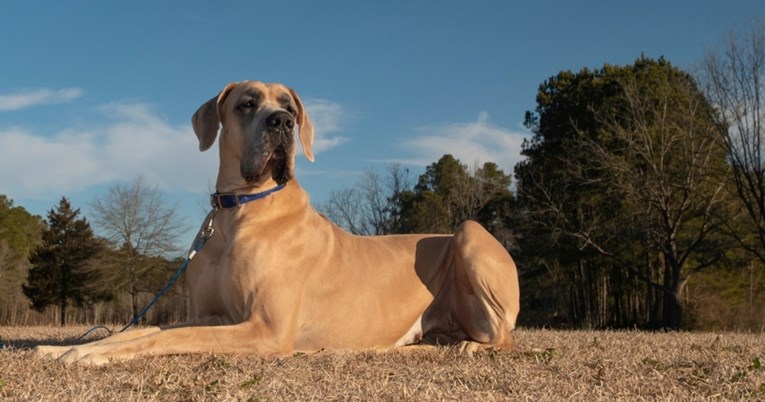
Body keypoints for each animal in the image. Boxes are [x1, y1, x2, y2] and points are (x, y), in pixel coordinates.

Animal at [31, 81, 520, 364]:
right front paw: (68, 347)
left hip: (469, 233)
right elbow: (149, 328)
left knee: (504, 335)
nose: (281, 122)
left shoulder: (265, 328)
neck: (237, 210)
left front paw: (87, 356)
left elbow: (157, 338)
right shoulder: (212, 314)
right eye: (247, 104)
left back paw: (470, 346)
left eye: (290, 108)